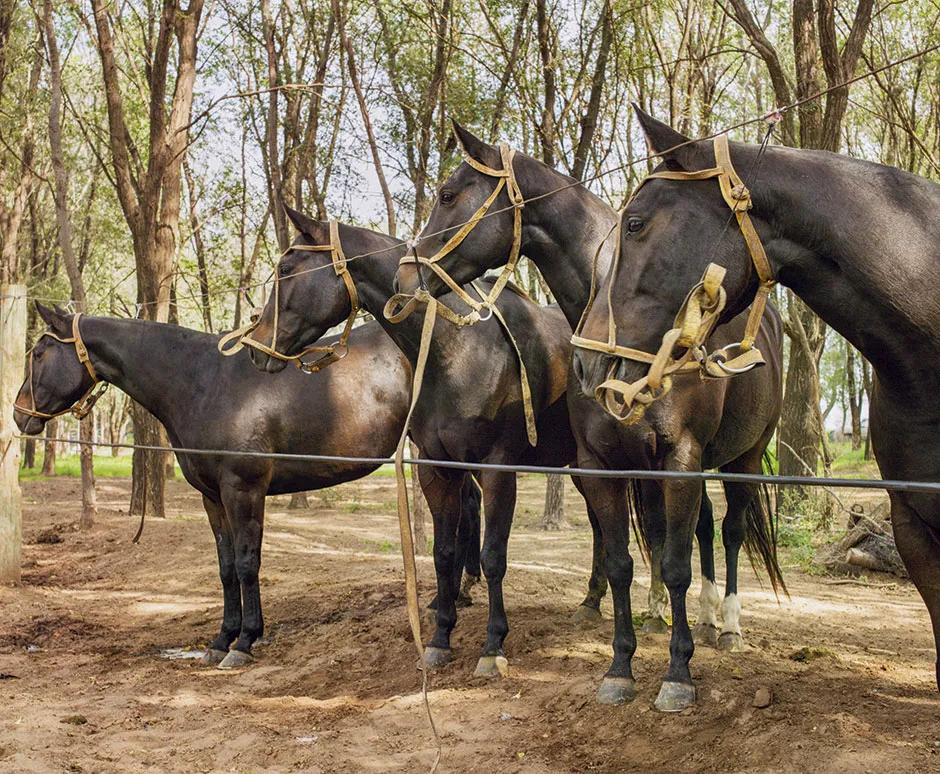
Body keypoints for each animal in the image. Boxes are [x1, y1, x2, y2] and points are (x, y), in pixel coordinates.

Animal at [13, 303, 481, 669]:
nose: (19, 415)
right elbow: (224, 568)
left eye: (39, 352)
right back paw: (457, 595)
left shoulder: (243, 489)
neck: (201, 382)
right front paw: (221, 639)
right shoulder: (213, 498)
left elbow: (245, 563)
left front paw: (244, 641)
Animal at [241, 206, 611, 676]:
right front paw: (439, 637)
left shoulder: (498, 469)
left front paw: (493, 645)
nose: (255, 347)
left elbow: (493, 556)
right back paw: (591, 601)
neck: (458, 351)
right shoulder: (437, 468)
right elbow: (443, 553)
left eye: (286, 269)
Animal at [396, 121, 785, 710]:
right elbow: (625, 561)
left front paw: (677, 674)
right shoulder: (605, 463)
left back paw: (730, 625)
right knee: (698, 530)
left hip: (745, 458)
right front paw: (621, 668)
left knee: (733, 529)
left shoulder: (681, 458)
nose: (405, 275)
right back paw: (696, 615)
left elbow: (675, 564)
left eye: (447, 194)